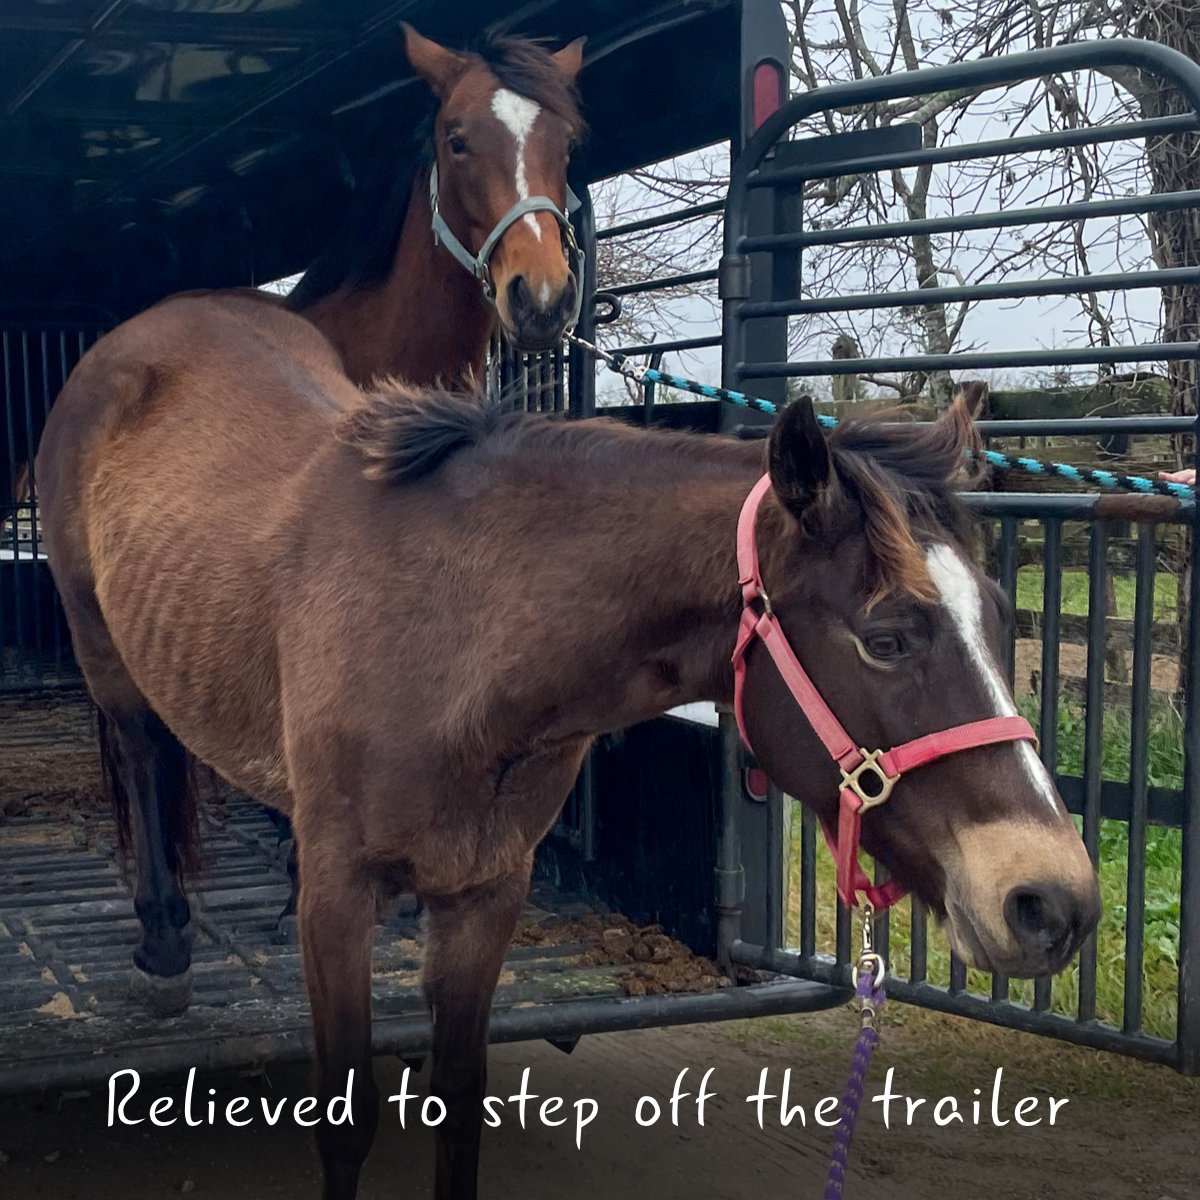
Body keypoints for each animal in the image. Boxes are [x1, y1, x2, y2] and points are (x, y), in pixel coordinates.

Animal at [35, 290, 1100, 1196]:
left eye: (1001, 616)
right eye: (886, 637)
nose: (1052, 902)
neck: (452, 629)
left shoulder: (486, 891)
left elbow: (457, 1107)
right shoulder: (340, 901)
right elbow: (346, 1123)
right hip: (103, 650)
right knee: (142, 755)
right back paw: (165, 945)